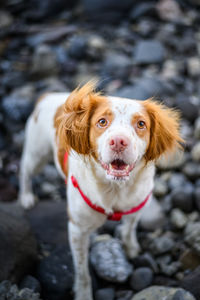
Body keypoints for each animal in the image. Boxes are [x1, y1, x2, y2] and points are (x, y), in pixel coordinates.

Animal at [19, 81, 183, 300]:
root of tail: (47, 96)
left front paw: (131, 248)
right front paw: (83, 293)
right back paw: (26, 196)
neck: (115, 189)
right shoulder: (77, 230)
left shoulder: (137, 206)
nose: (119, 141)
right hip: (36, 155)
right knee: (25, 171)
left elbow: (129, 229)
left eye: (141, 124)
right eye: (102, 121)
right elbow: (82, 272)